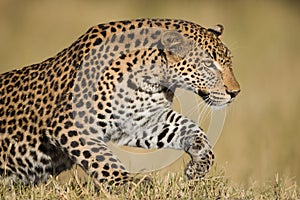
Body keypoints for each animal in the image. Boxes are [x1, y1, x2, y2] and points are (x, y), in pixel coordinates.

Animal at [0, 18, 240, 186]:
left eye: (229, 62)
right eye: (208, 65)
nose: (235, 92)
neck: (152, 78)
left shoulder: (144, 120)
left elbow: (192, 129)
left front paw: (199, 165)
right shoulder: (71, 124)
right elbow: (102, 158)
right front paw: (126, 182)